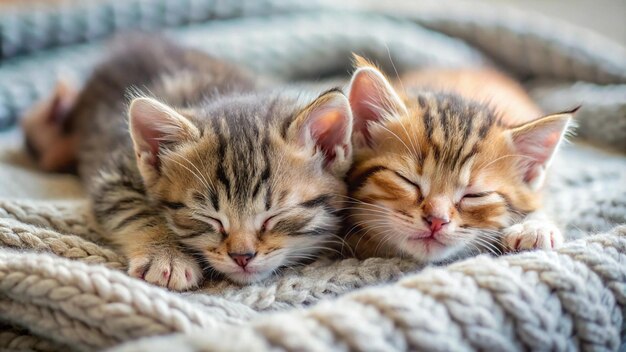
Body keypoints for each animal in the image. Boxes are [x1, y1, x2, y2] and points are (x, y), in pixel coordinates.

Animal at [25, 35, 352, 290]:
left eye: (276, 216)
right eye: (209, 218)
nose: (242, 257)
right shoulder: (115, 172)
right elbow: (133, 209)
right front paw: (165, 256)